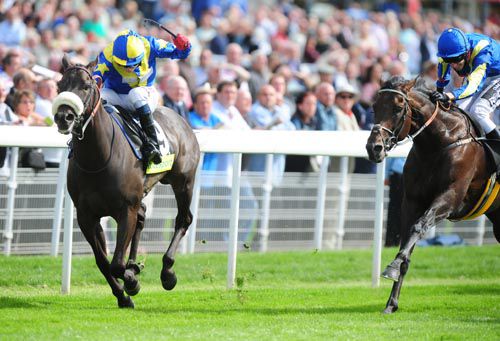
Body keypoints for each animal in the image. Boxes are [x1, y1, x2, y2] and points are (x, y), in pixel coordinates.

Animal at [51, 55, 199, 306]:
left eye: (86, 86)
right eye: (60, 85)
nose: (64, 117)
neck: (97, 159)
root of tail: (180, 118)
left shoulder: (124, 209)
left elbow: (116, 264)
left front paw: (132, 282)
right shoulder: (86, 216)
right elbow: (103, 262)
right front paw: (123, 294)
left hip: (183, 182)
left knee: (183, 219)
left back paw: (167, 272)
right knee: (143, 217)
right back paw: (135, 265)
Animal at [364, 76, 500, 314]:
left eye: (398, 108)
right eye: (374, 107)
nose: (374, 148)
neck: (439, 142)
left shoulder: (450, 198)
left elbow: (419, 227)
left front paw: (391, 267)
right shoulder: (411, 202)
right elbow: (407, 244)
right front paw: (391, 302)